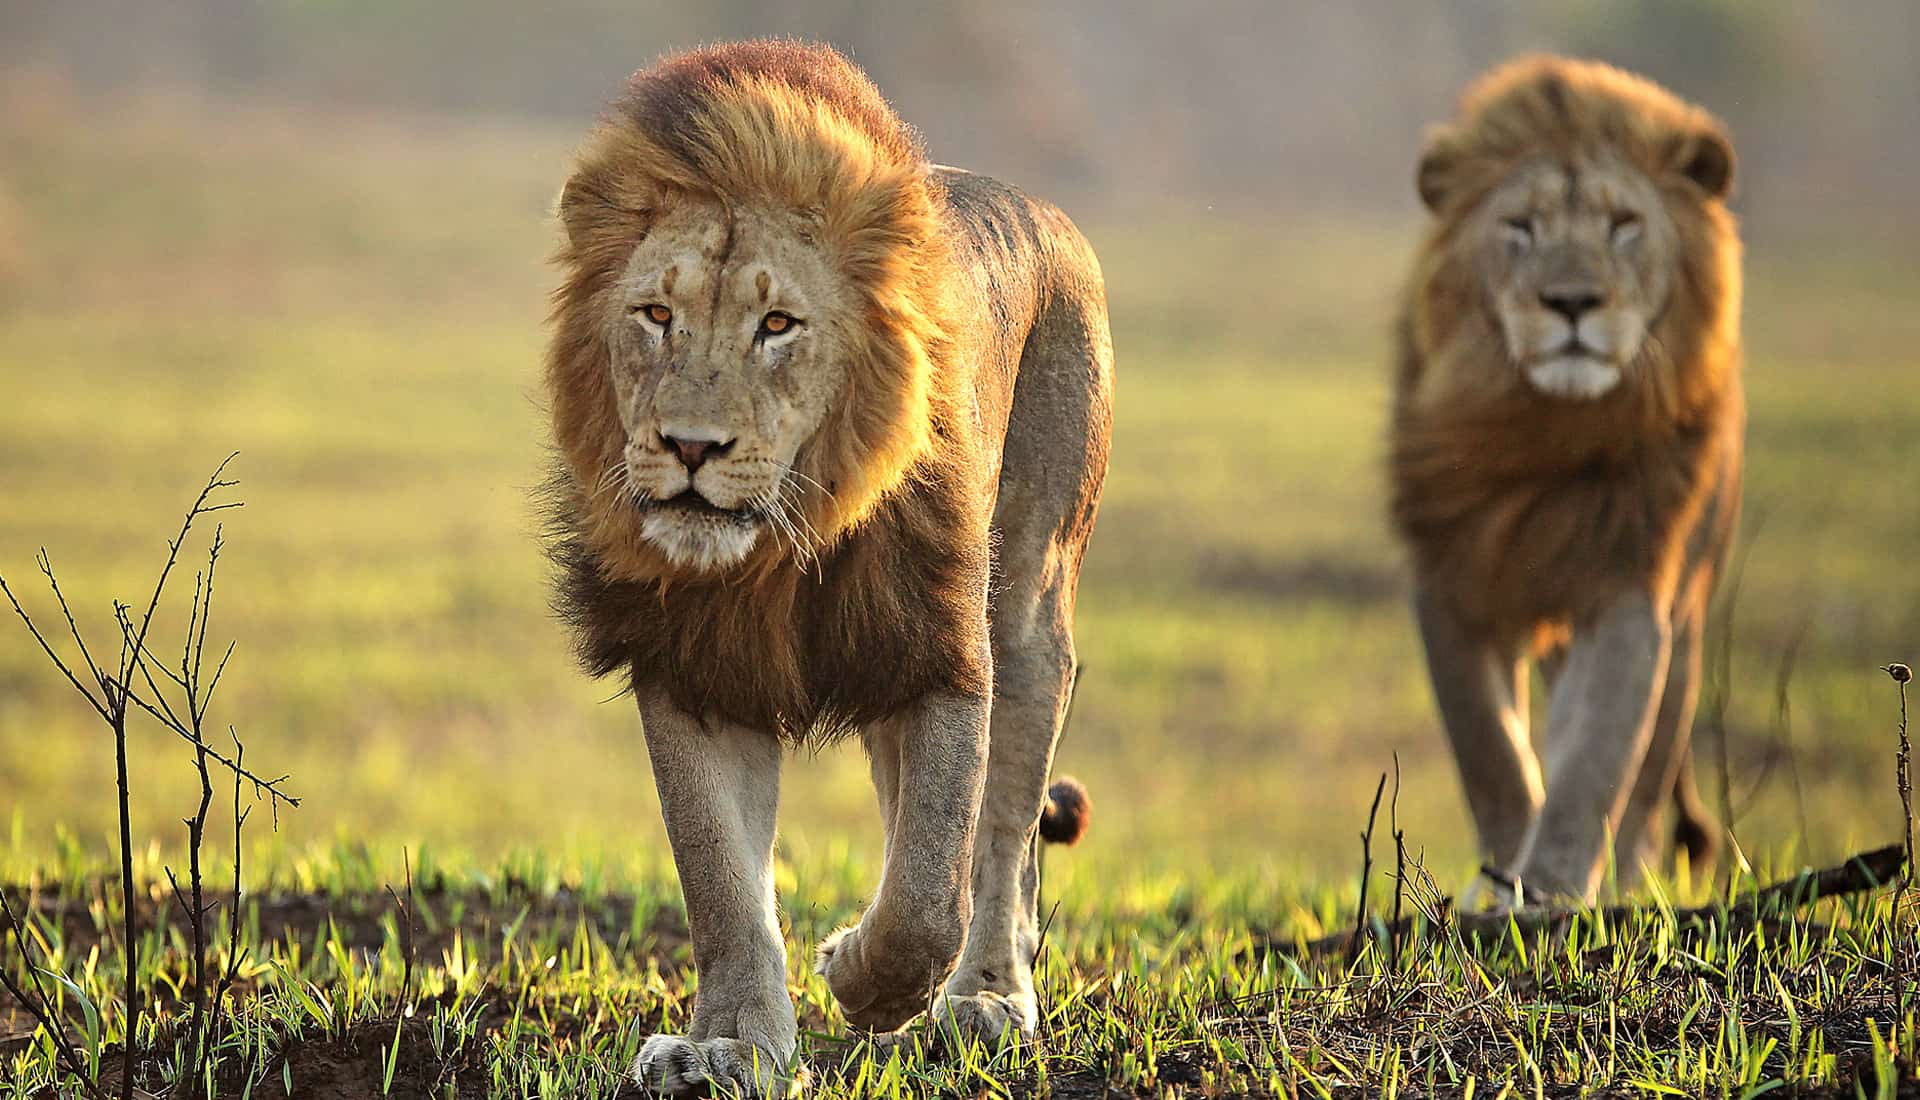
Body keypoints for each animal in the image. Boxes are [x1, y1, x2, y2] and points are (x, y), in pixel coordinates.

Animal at [541, 38, 1113, 1090]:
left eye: (778, 326)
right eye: (655, 314)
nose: (689, 447)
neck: (778, 552)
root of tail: (1046, 210)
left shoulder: (942, 650)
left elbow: (931, 888)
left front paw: (862, 980)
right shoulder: (696, 667)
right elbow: (722, 882)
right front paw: (727, 1048)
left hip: (1031, 607)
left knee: (1003, 833)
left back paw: (989, 997)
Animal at [1390, 55, 1751, 906]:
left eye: (1625, 224)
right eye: (1519, 226)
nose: (1574, 302)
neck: (1544, 432)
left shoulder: (1627, 588)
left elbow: (1598, 759)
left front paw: (1553, 887)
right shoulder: (1450, 579)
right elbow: (1489, 750)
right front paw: (1500, 881)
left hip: (1689, 612)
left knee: (1652, 765)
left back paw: (1631, 880)